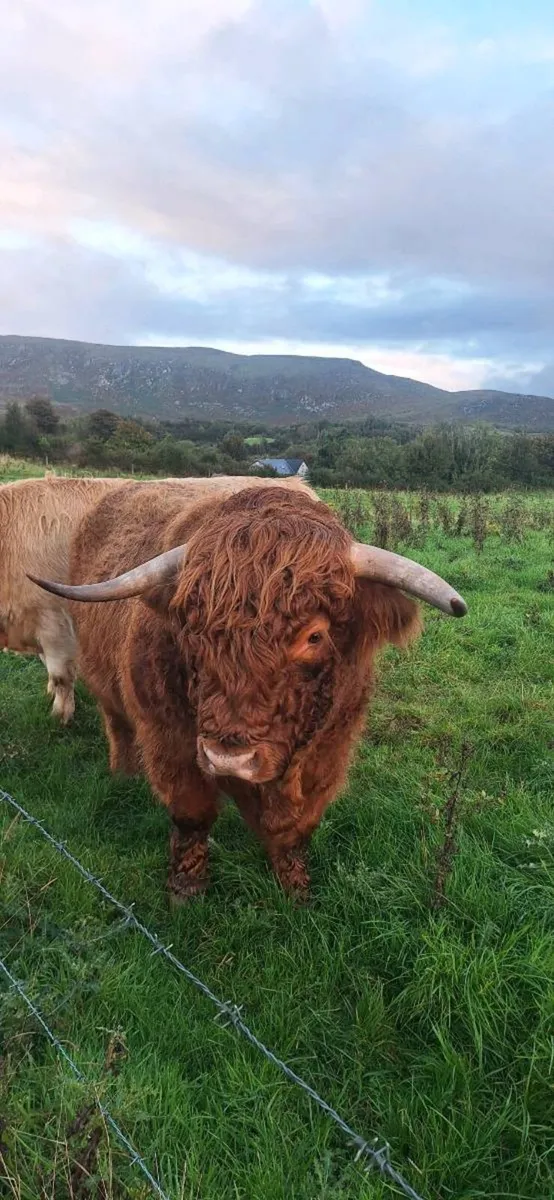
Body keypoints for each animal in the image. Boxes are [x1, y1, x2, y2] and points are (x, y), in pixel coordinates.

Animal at [31, 478, 467, 901]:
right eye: (190, 625)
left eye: (314, 636)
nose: (229, 758)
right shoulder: (170, 739)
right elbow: (191, 813)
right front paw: (185, 889)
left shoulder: (330, 748)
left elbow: (294, 826)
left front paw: (295, 889)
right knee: (117, 724)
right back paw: (124, 774)